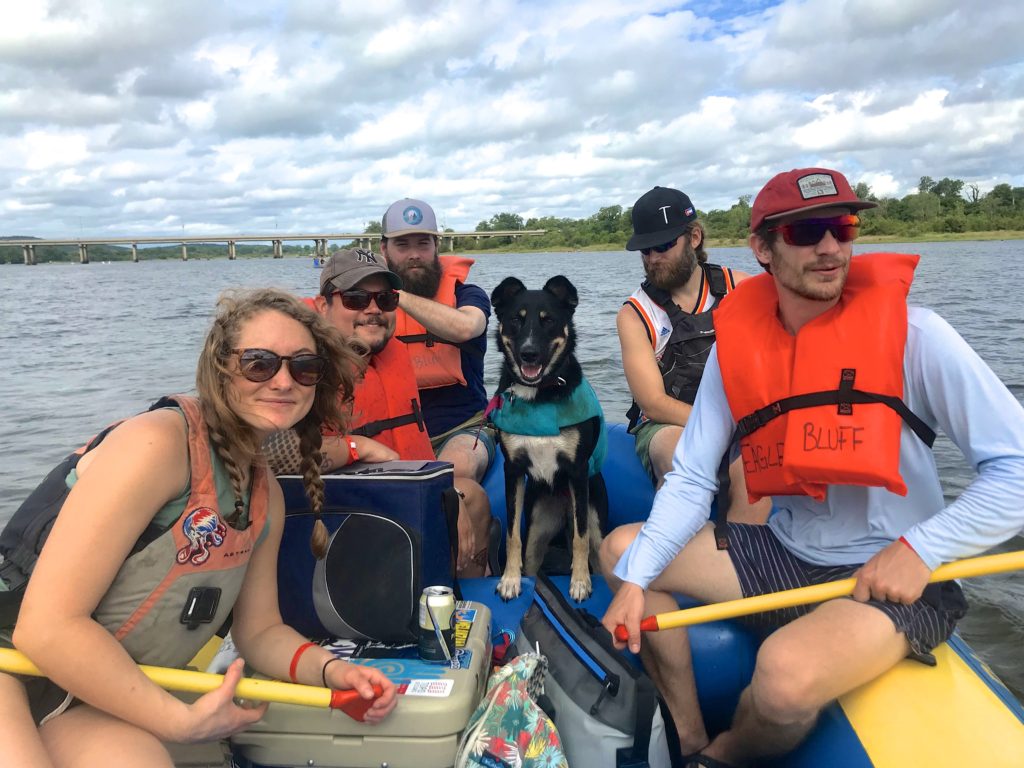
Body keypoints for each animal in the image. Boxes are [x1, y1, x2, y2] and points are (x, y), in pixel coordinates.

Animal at [487, 274, 606, 606]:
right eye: (516, 320)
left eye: (548, 320)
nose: (529, 353)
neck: (539, 394)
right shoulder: (513, 470)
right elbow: (512, 535)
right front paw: (509, 580)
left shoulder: (577, 471)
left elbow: (580, 539)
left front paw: (579, 582)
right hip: (539, 527)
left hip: (596, 523)